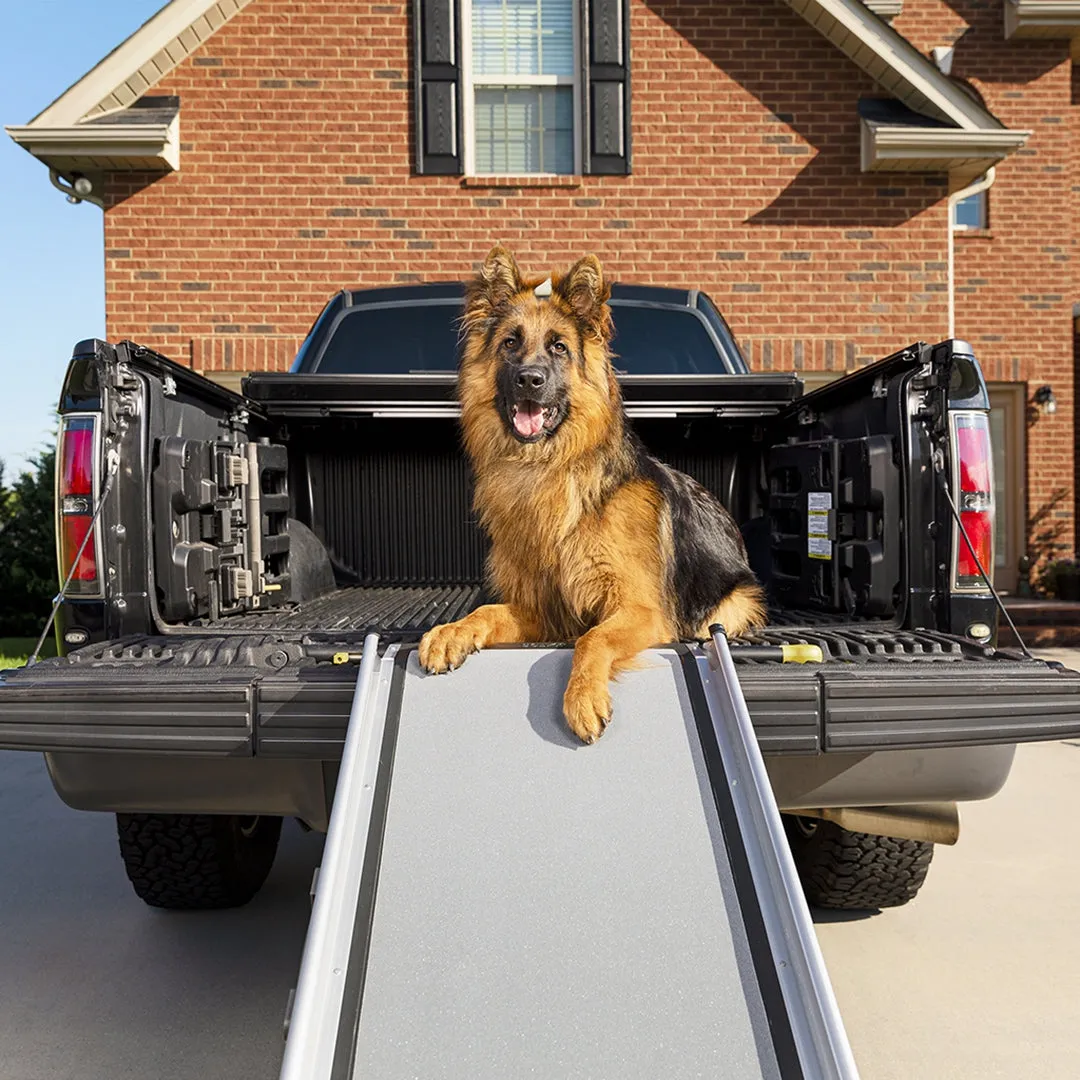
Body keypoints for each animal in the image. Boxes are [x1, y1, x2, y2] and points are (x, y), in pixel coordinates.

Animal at [416, 245, 764, 743]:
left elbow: (591, 637)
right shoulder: (544, 608)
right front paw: (451, 631)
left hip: (734, 602)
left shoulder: (640, 610)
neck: (547, 471)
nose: (529, 379)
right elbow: (486, 610)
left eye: (559, 347)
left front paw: (582, 697)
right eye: (510, 343)